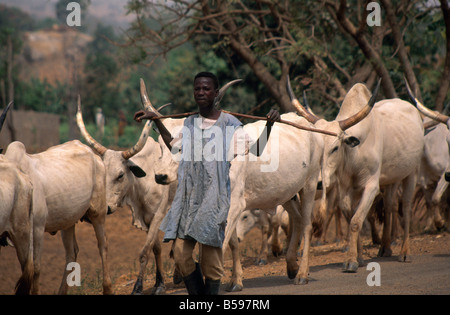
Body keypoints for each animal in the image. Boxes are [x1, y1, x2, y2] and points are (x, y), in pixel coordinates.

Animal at [4, 139, 112, 296]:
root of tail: (93, 154)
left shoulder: (37, 228)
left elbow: (35, 268)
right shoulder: (18, 235)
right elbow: (26, 270)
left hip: (99, 213)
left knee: (102, 245)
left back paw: (108, 287)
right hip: (68, 221)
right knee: (72, 252)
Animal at [288, 78, 426, 272]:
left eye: (335, 148)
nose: (319, 183)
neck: (354, 153)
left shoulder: (371, 186)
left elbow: (355, 221)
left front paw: (351, 261)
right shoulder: (345, 188)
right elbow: (351, 216)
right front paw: (358, 257)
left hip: (411, 173)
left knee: (405, 207)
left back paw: (404, 252)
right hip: (391, 179)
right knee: (389, 205)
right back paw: (385, 247)